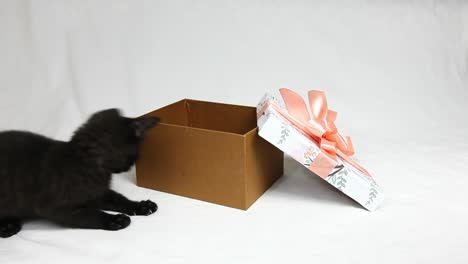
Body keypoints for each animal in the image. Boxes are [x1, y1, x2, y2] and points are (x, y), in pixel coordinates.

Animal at [0, 108, 159, 238]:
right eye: (135, 156)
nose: (129, 167)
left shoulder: (97, 193)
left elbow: (118, 199)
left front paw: (141, 206)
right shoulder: (54, 207)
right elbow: (90, 214)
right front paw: (115, 219)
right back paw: (7, 227)